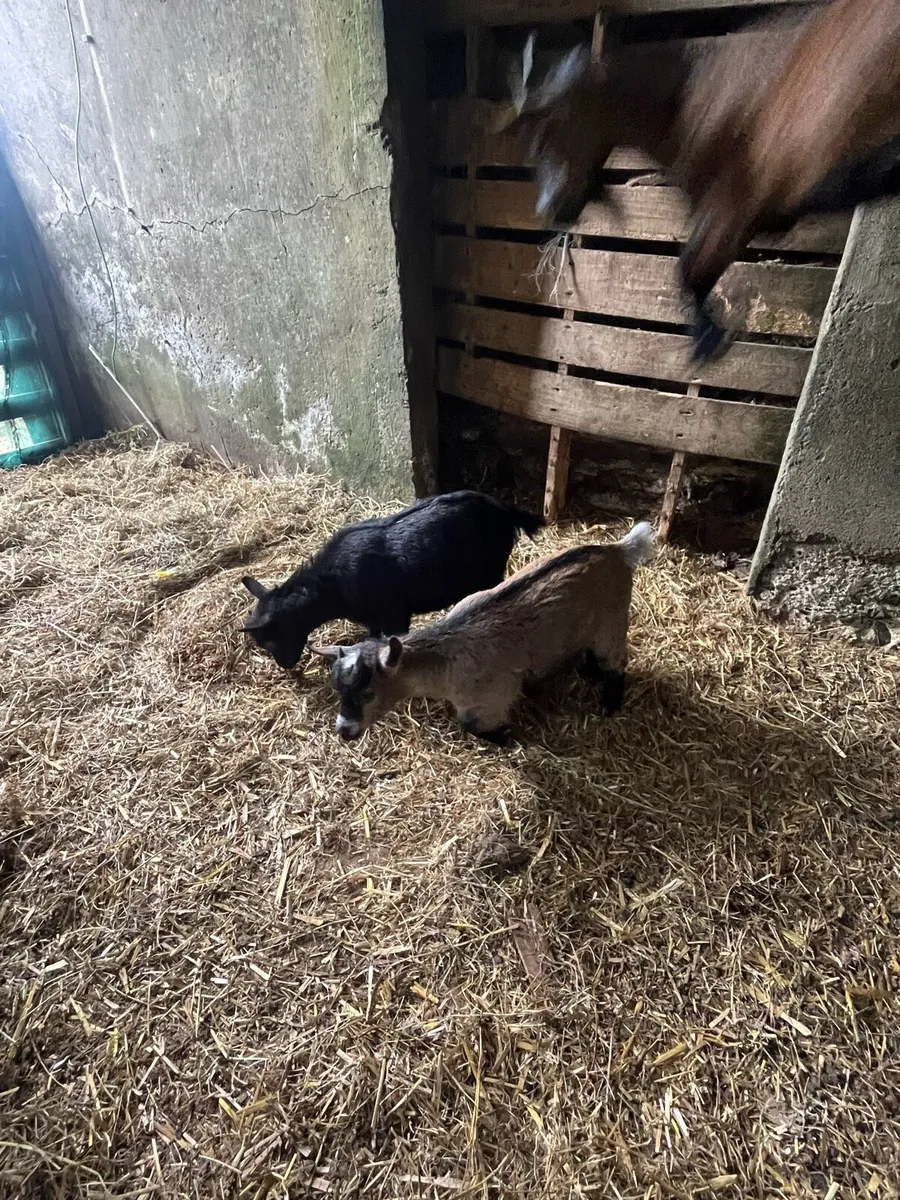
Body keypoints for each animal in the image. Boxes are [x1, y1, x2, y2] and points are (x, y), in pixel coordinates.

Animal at [241, 490, 543, 670]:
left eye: (269, 641)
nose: (286, 666)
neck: (331, 587)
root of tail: (503, 509)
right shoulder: (373, 620)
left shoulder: (394, 613)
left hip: (490, 570)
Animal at [312, 521, 655, 744]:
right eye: (337, 689)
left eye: (369, 693)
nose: (344, 731)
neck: (447, 655)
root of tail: (617, 550)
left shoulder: (494, 694)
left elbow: (470, 724)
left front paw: (505, 737)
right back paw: (587, 671)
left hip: (612, 621)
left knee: (616, 662)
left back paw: (608, 702)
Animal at [497, 6, 900, 362]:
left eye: (549, 128)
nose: (549, 207)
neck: (693, 96)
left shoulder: (733, 208)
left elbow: (688, 272)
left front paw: (707, 343)